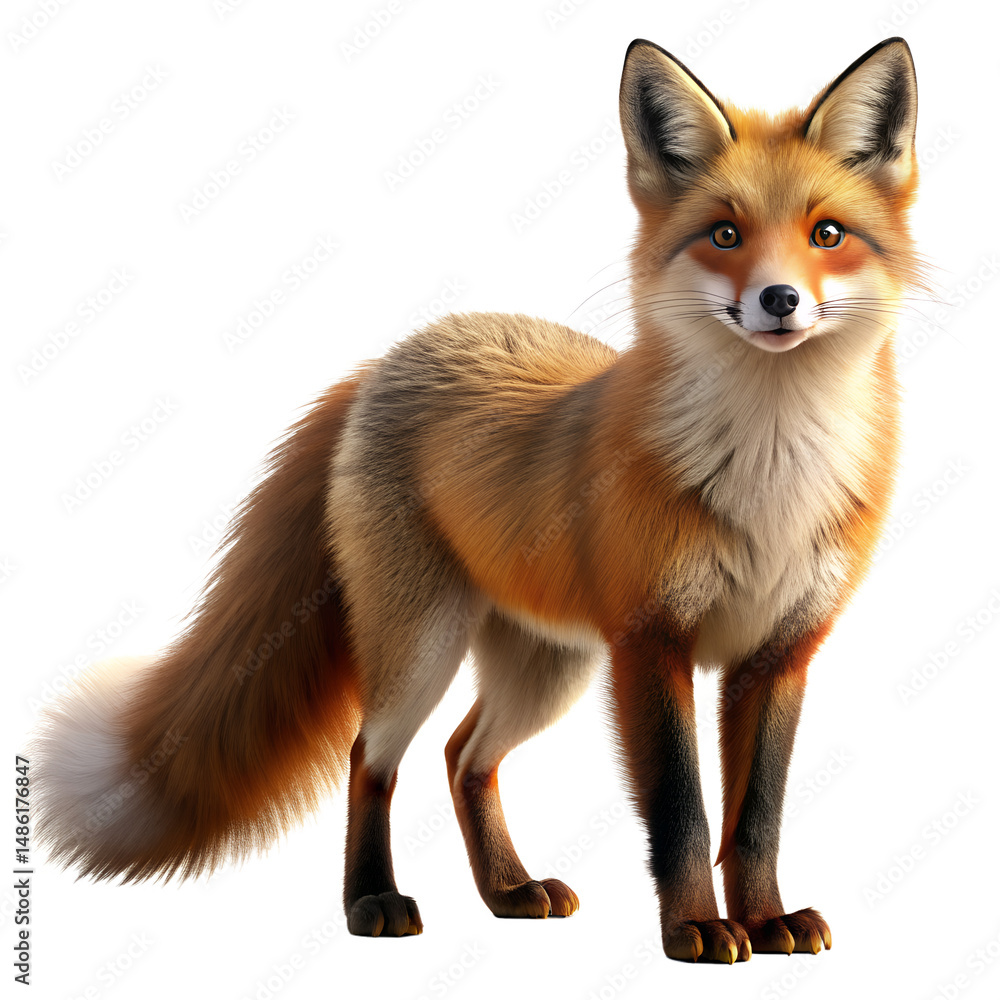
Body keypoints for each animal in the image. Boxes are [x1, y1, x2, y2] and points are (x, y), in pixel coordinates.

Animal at [31, 37, 922, 964]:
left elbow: (757, 818)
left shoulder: (779, 656)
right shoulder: (651, 643)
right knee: (370, 755)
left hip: (549, 664)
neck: (770, 480)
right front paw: (695, 930)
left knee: (465, 754)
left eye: (827, 235)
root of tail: (396, 354)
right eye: (725, 234)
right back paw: (373, 900)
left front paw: (767, 919)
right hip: (426, 643)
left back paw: (507, 890)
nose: (780, 300)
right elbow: (682, 813)